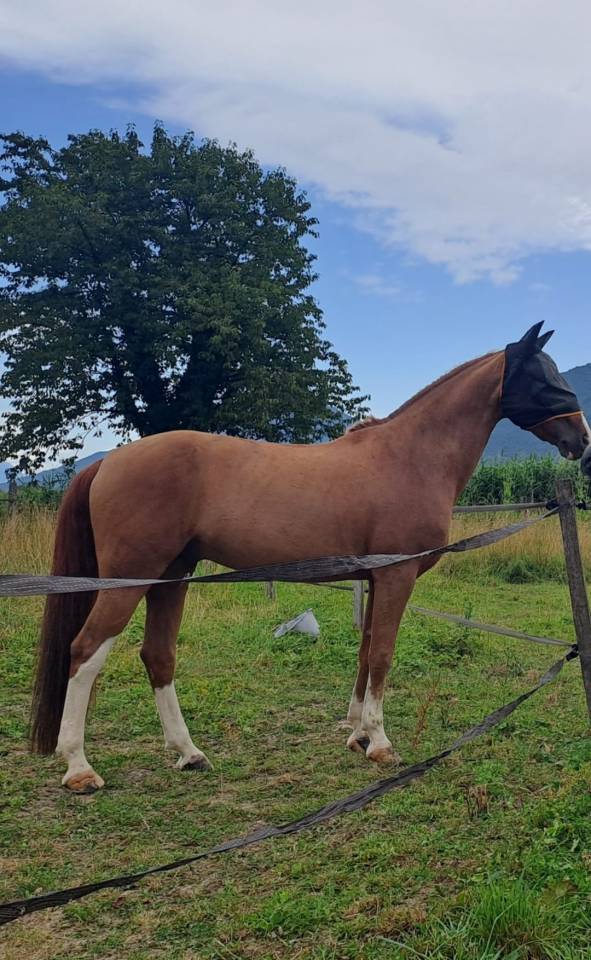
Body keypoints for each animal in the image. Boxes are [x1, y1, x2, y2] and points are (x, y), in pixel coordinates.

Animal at [30, 321, 591, 793]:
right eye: (542, 377)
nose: (581, 439)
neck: (410, 457)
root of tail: (108, 462)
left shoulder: (374, 578)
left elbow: (365, 652)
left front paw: (358, 735)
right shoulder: (397, 576)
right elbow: (383, 654)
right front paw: (380, 744)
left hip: (172, 576)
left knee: (157, 655)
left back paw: (189, 753)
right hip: (132, 578)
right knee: (86, 650)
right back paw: (79, 767)